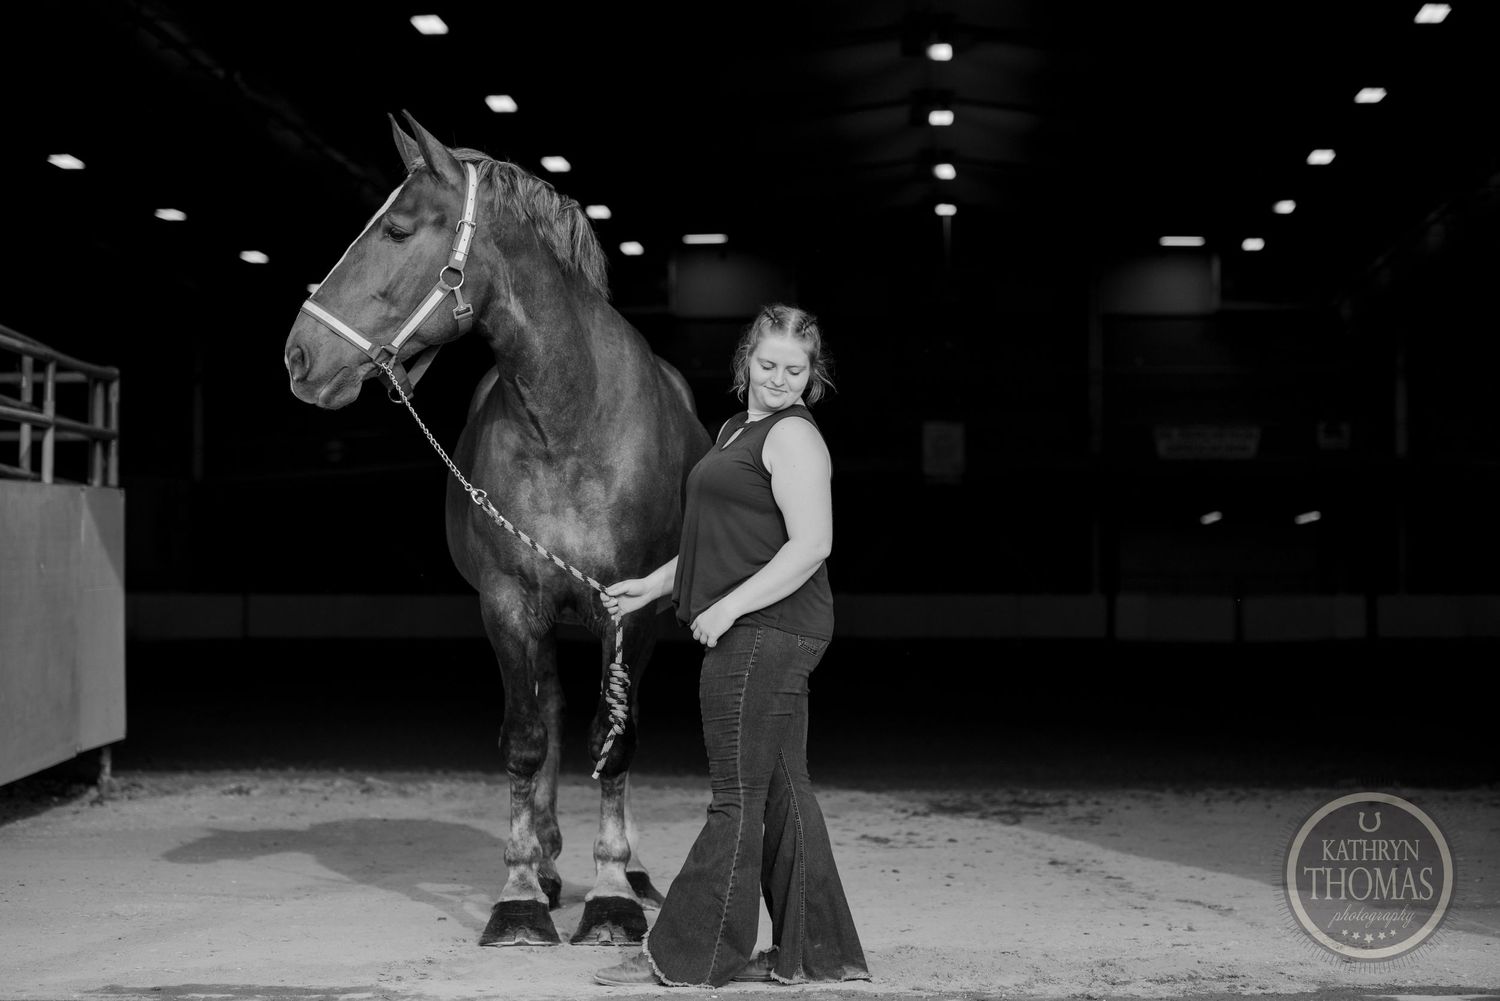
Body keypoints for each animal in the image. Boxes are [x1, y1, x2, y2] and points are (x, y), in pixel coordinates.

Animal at [283, 111, 710, 947]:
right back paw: (544, 864)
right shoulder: (509, 603)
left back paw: (634, 871)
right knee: (549, 712)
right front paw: (518, 894)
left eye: (397, 228)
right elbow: (525, 741)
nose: (299, 356)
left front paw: (613, 892)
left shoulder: (634, 611)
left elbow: (618, 745)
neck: (573, 422)